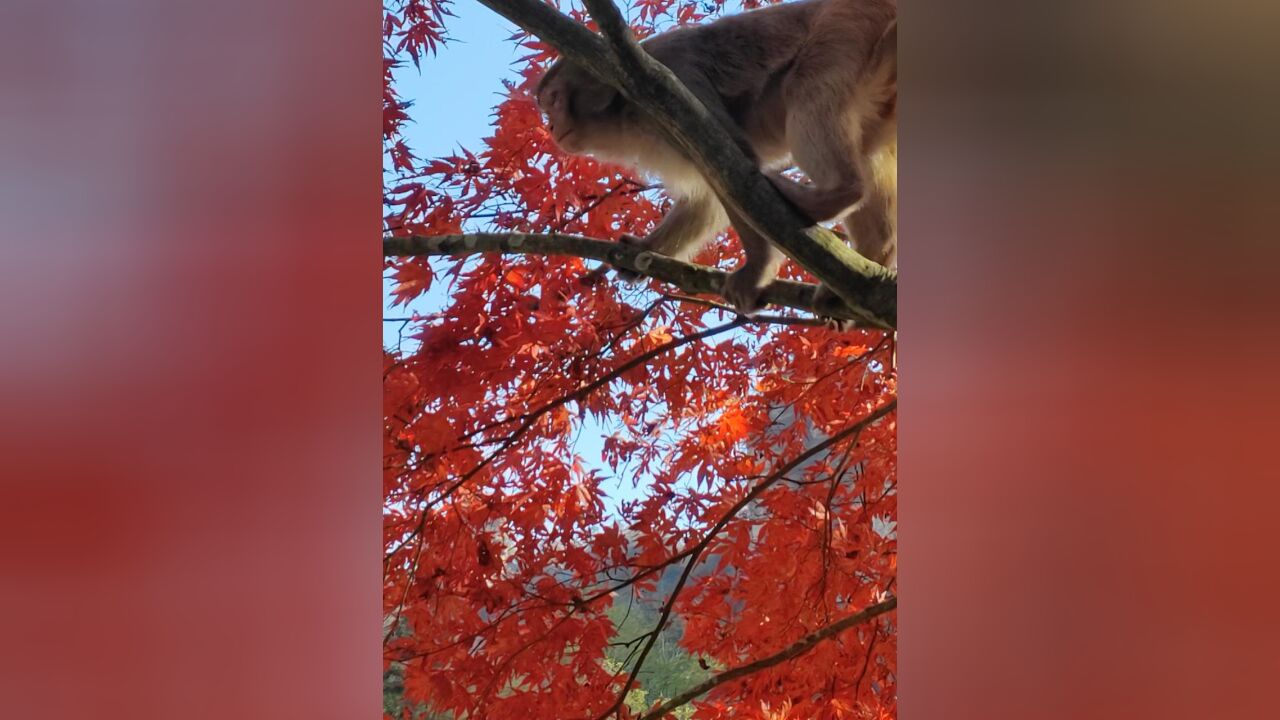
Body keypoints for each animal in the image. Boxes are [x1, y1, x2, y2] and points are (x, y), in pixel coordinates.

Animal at [535, 0, 896, 313]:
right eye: (546, 107)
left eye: (554, 100)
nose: (550, 126)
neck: (624, 105)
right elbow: (708, 199)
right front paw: (644, 249)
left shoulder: (670, 80)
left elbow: (732, 165)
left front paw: (757, 268)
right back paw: (874, 257)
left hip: (846, 25)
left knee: (807, 86)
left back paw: (837, 194)